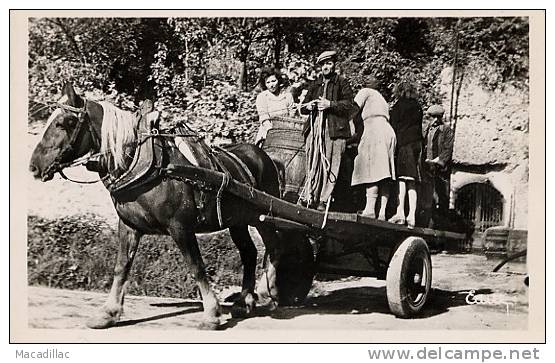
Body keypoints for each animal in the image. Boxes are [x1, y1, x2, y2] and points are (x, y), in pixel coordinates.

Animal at [28, 84, 284, 332]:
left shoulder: (180, 227)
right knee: (249, 253)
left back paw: (267, 293)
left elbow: (196, 267)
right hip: (238, 221)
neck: (146, 164)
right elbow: (121, 267)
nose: (34, 166)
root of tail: (266, 157)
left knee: (274, 247)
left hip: (264, 216)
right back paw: (245, 301)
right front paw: (108, 313)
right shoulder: (129, 227)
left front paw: (211, 314)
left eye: (65, 122)